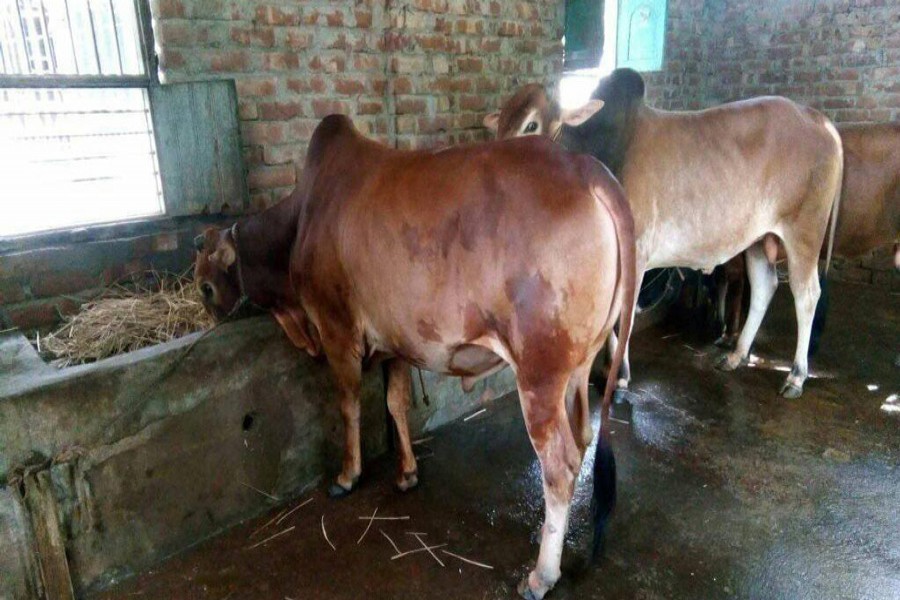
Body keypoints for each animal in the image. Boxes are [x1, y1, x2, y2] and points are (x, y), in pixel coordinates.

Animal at [194, 115, 636, 599]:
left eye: (205, 286)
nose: (210, 317)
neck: (301, 220)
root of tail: (584, 168)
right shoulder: (395, 343)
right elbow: (395, 404)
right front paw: (406, 473)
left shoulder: (337, 330)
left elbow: (348, 405)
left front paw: (347, 476)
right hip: (577, 367)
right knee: (582, 436)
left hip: (539, 375)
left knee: (559, 465)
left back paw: (541, 575)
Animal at [485, 68, 844, 399]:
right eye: (500, 124)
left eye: (531, 125)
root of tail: (818, 119)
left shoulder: (636, 253)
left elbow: (623, 320)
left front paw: (620, 378)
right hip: (757, 240)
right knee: (764, 287)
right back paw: (737, 355)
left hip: (804, 232)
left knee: (806, 295)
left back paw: (796, 376)